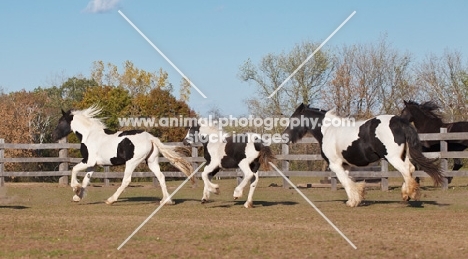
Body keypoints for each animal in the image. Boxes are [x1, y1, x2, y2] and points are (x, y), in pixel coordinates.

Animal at [53, 106, 194, 206]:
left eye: (61, 121)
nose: (54, 136)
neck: (89, 134)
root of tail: (151, 138)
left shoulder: (88, 161)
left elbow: (74, 170)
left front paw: (75, 189)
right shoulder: (93, 165)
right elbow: (86, 180)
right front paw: (77, 196)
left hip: (132, 162)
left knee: (126, 180)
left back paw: (111, 200)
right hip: (151, 161)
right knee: (161, 177)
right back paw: (167, 201)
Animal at [282, 104, 442, 208]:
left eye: (294, 120)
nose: (285, 136)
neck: (328, 131)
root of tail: (400, 121)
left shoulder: (335, 165)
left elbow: (345, 182)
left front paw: (352, 202)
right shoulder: (345, 165)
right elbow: (349, 181)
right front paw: (356, 198)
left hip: (393, 158)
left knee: (406, 171)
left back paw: (410, 194)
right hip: (403, 156)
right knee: (410, 169)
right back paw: (406, 194)